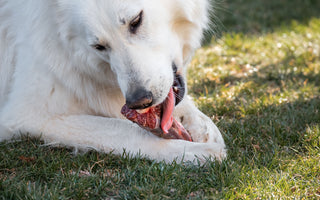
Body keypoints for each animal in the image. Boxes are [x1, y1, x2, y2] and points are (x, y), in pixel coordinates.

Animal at [0, 0, 225, 163]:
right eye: (99, 46)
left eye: (136, 21)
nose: (139, 102)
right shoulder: (26, 116)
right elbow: (126, 130)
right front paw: (193, 151)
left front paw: (204, 129)